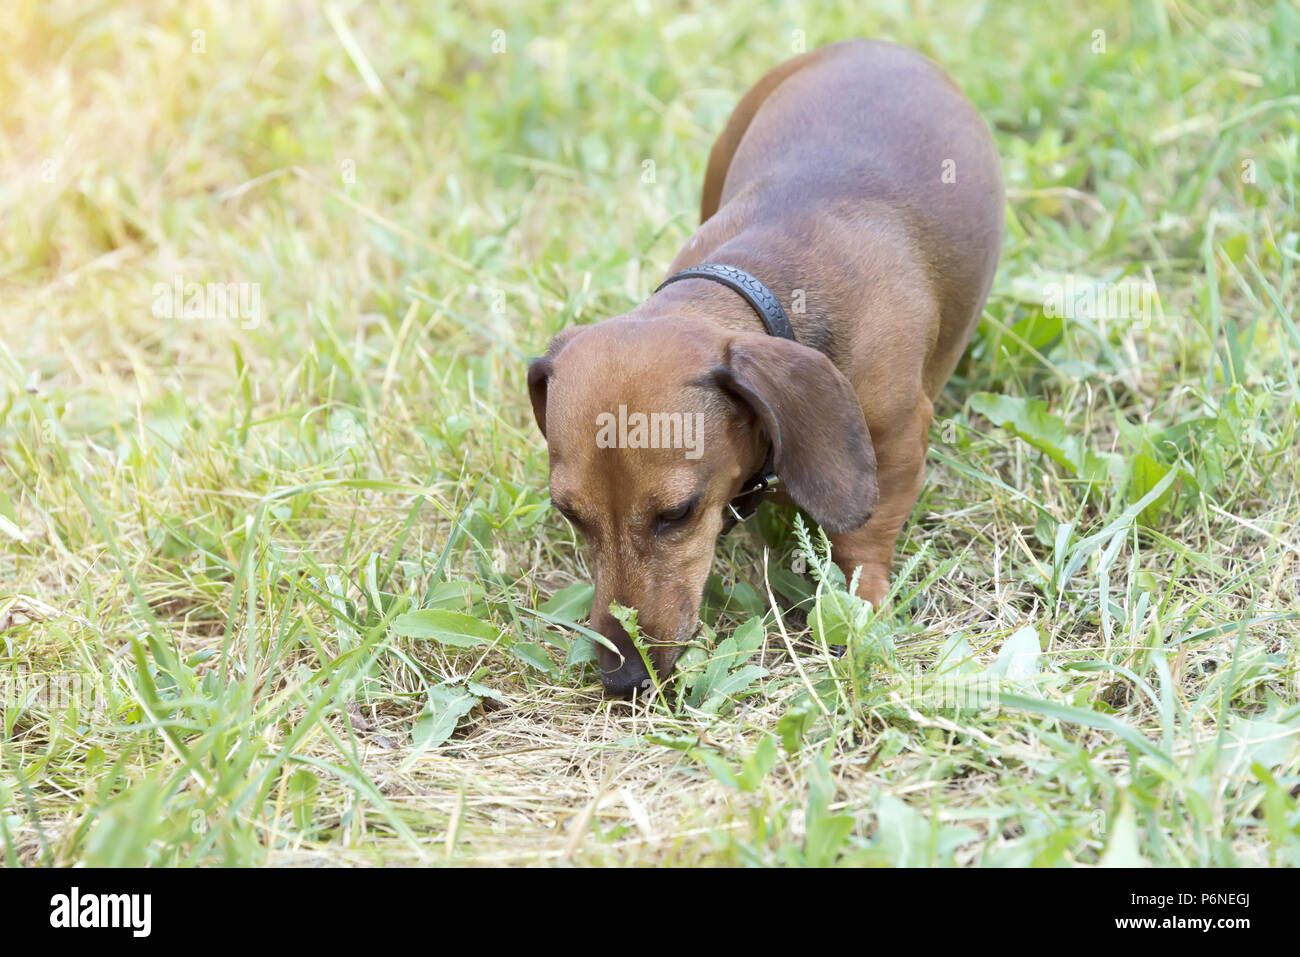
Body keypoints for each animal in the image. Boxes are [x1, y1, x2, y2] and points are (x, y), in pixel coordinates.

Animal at [527, 39, 1003, 696]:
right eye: (569, 513)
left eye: (677, 513)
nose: (624, 679)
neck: (764, 282)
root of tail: (876, 44)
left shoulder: (895, 439)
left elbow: (863, 539)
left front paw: (863, 618)